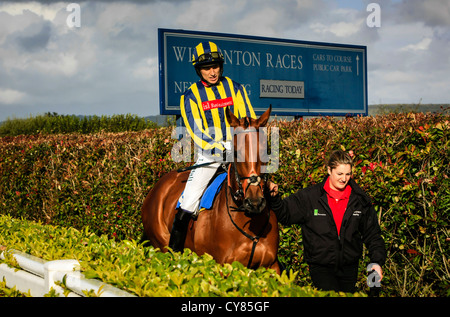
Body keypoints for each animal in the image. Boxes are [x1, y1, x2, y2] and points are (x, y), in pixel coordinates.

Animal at [142, 105, 280, 272]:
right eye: (235, 153)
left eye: (266, 151)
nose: (254, 202)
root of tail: (157, 188)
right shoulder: (223, 266)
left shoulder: (272, 266)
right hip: (161, 247)